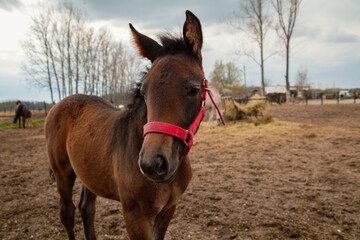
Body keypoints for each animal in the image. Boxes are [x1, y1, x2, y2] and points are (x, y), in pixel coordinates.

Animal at [45, 10, 222, 240]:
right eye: (143, 92)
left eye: (193, 89)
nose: (152, 164)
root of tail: (56, 106)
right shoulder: (135, 216)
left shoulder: (168, 210)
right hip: (62, 173)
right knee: (67, 212)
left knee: (87, 208)